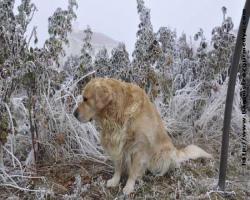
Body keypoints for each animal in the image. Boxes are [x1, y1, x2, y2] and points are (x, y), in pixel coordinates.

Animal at [73, 77, 212, 195]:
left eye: (85, 99)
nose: (74, 114)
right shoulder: (117, 145)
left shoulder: (139, 148)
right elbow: (118, 167)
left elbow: (133, 171)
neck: (118, 112)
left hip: (163, 153)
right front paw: (115, 181)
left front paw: (129, 187)